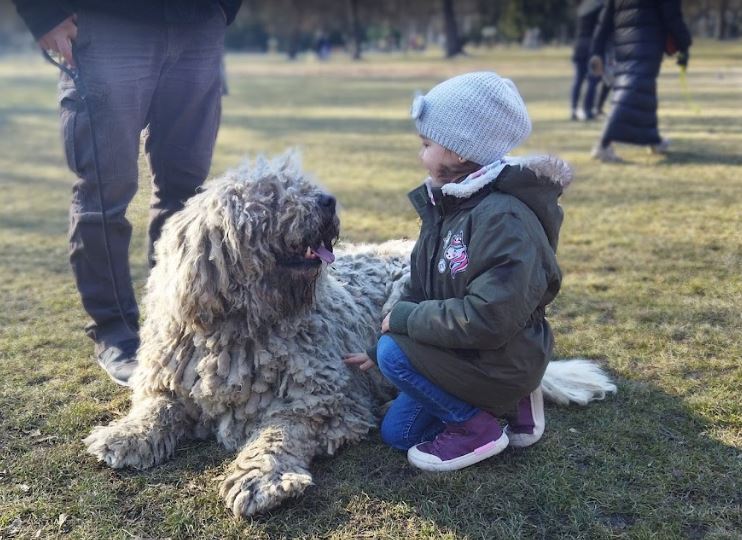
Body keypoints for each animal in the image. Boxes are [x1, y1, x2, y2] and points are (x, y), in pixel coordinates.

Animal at [84, 154, 620, 516]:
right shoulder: (173, 378)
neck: (245, 327)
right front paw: (126, 435)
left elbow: (280, 431)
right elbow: (157, 405)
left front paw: (262, 477)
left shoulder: (323, 401)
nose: (327, 201)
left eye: (296, 185)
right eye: (269, 195)